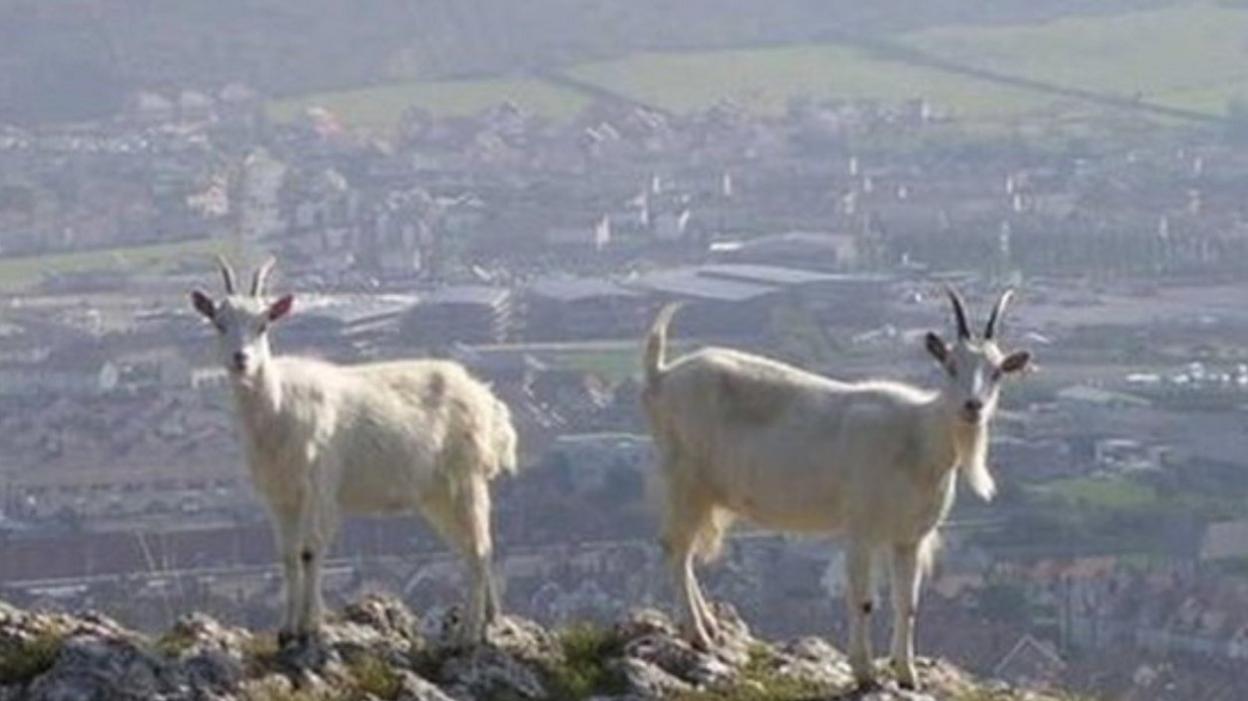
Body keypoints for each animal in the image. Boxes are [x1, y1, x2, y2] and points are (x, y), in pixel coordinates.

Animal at [185, 255, 516, 643]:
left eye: (263, 324)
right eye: (218, 323)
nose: (241, 359)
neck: (278, 408)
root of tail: (486, 399)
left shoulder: (320, 485)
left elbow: (310, 551)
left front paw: (311, 627)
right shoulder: (279, 495)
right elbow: (287, 556)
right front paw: (287, 630)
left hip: (465, 476)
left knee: (478, 548)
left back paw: (468, 633)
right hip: (437, 493)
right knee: (474, 547)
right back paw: (491, 619)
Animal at [638, 288, 1028, 688]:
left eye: (997, 372)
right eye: (950, 365)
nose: (972, 406)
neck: (917, 436)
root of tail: (660, 376)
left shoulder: (909, 537)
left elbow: (908, 604)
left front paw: (908, 676)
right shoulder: (860, 527)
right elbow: (863, 600)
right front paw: (865, 673)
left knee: (684, 551)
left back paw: (709, 626)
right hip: (683, 475)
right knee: (675, 548)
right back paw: (698, 634)